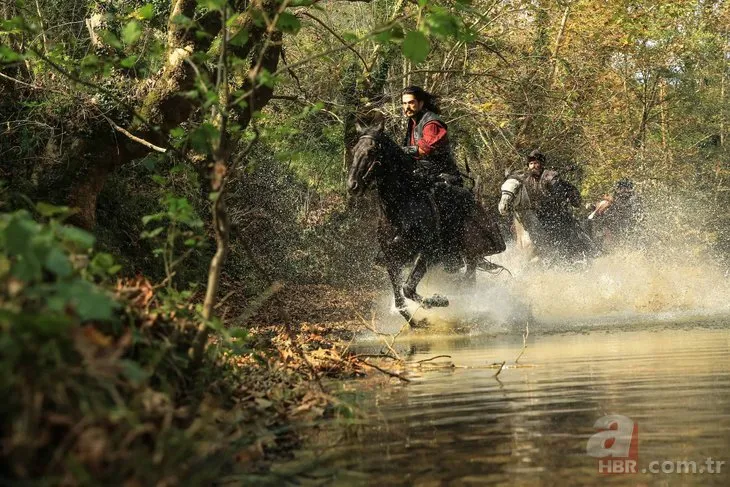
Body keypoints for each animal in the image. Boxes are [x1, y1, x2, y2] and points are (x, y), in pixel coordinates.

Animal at [346, 122, 500, 328]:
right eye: (354, 150)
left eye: (371, 151)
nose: (352, 186)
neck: (401, 210)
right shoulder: (392, 260)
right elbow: (400, 300)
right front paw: (416, 322)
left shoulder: (426, 253)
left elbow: (408, 288)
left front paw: (437, 301)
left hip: (471, 254)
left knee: (468, 282)